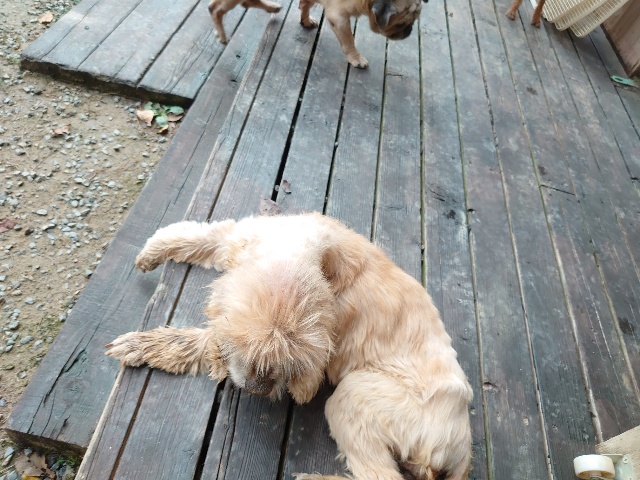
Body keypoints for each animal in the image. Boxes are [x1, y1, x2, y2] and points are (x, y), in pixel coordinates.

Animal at [106, 213, 473, 480]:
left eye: (290, 361)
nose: (256, 389)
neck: (308, 248)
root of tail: (462, 448)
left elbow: (199, 338)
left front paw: (142, 344)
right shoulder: (238, 237)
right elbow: (198, 234)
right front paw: (152, 252)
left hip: (354, 396)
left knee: (381, 476)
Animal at [209, 0, 425, 68]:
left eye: (413, 22)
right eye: (400, 24)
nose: (409, 31)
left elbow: (305, 5)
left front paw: (305, 20)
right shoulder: (339, 17)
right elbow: (349, 40)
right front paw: (355, 58)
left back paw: (272, 7)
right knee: (215, 9)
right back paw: (222, 35)